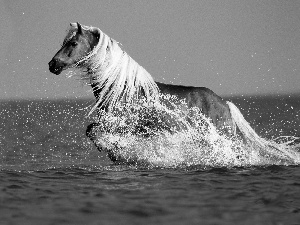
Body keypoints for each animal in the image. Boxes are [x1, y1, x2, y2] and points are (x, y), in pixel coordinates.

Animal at [49, 22, 292, 163]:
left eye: (73, 43)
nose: (53, 64)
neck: (122, 89)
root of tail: (225, 105)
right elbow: (91, 130)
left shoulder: (124, 123)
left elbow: (94, 132)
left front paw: (116, 150)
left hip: (223, 137)